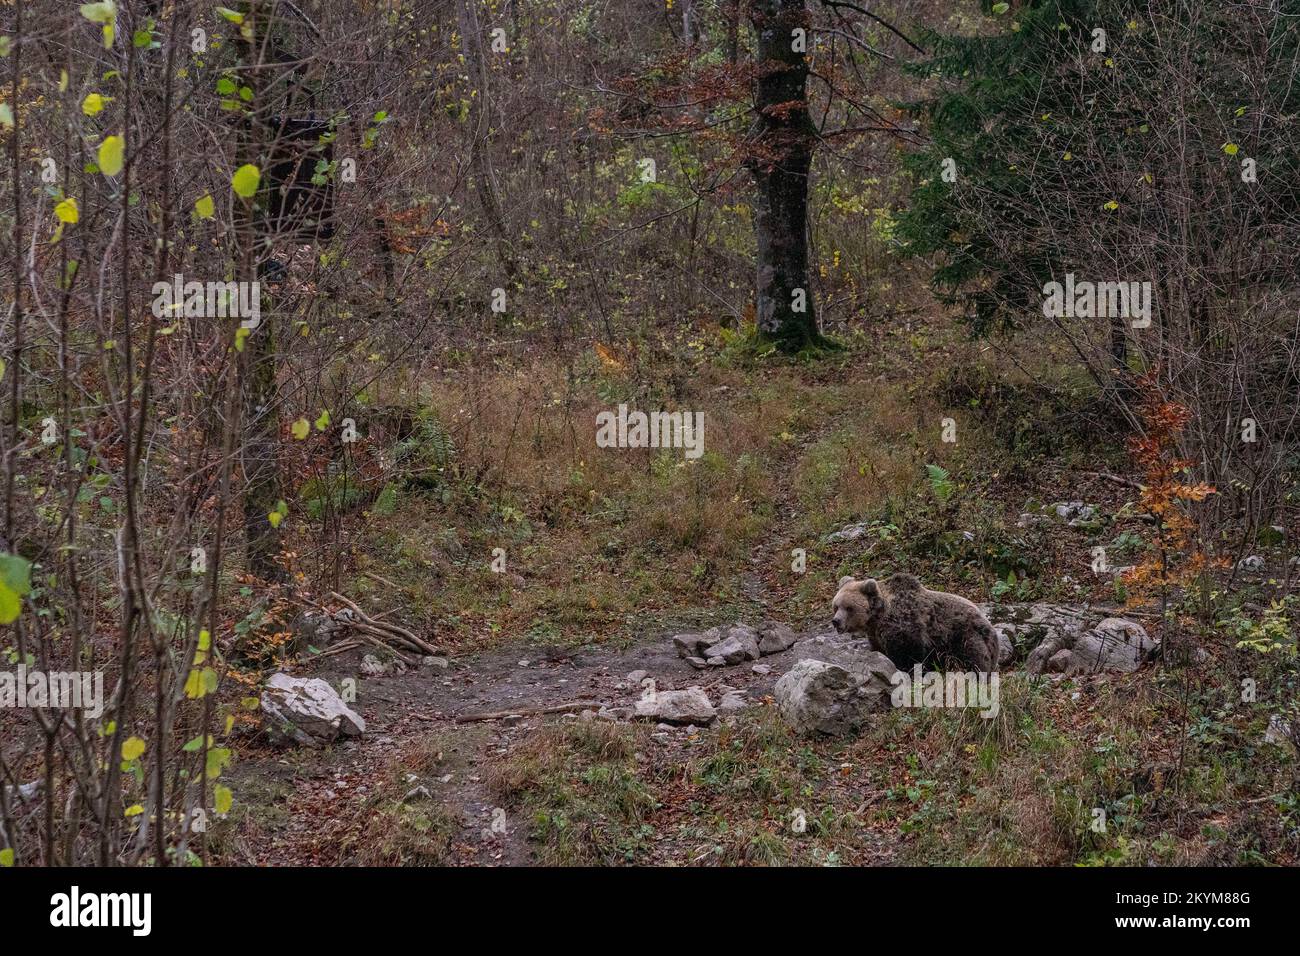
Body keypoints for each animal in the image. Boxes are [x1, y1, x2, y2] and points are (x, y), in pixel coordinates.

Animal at [831, 573, 999, 672]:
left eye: (849, 608)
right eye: (836, 606)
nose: (836, 621)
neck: (877, 618)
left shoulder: (905, 625)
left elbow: (908, 654)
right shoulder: (875, 634)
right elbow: (879, 650)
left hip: (965, 636)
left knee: (973, 660)